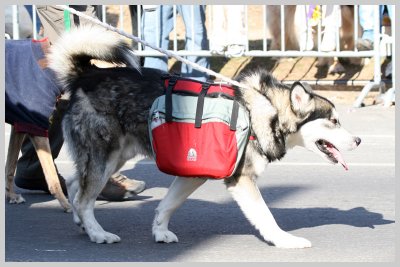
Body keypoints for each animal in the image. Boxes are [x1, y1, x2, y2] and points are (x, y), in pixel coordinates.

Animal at [48, 26, 360, 248]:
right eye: (333, 121)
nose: (358, 141)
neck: (264, 109)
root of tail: (86, 75)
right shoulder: (241, 180)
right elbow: (266, 216)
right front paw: (284, 240)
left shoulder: (192, 174)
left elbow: (167, 205)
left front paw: (160, 232)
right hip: (104, 157)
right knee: (84, 198)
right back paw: (98, 233)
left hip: (114, 158)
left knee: (75, 185)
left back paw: (82, 223)